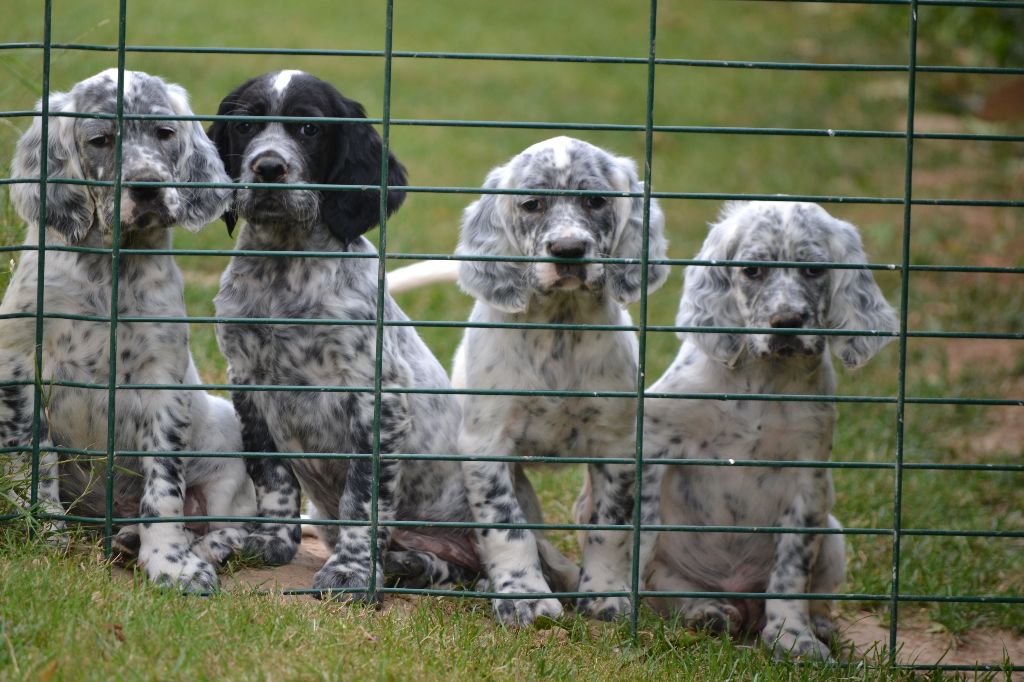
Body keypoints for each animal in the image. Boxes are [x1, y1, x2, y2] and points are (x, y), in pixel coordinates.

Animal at [0, 70, 253, 589]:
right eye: (101, 140)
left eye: (165, 133)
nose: (148, 187)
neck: (109, 272)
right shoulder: (19, 366)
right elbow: (35, 460)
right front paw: (44, 535)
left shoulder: (162, 382)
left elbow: (164, 488)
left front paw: (172, 564)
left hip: (229, 460)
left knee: (233, 529)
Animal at [209, 71, 481, 598]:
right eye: (245, 126)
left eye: (309, 129)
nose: (267, 167)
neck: (284, 269)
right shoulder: (248, 383)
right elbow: (271, 475)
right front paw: (270, 542)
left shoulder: (377, 401)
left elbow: (363, 497)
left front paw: (351, 573)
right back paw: (406, 563)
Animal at [458, 135, 671, 622]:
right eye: (532, 204)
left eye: (595, 201)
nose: (569, 250)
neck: (558, 327)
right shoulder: (486, 445)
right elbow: (507, 527)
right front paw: (525, 596)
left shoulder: (617, 446)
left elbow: (609, 528)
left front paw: (605, 594)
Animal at [647, 199, 897, 655]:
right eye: (752, 271)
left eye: (813, 270)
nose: (787, 321)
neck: (762, 381)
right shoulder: (656, 441)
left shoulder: (807, 480)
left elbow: (791, 571)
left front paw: (793, 638)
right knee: (665, 584)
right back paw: (703, 611)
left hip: (833, 533)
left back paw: (818, 625)